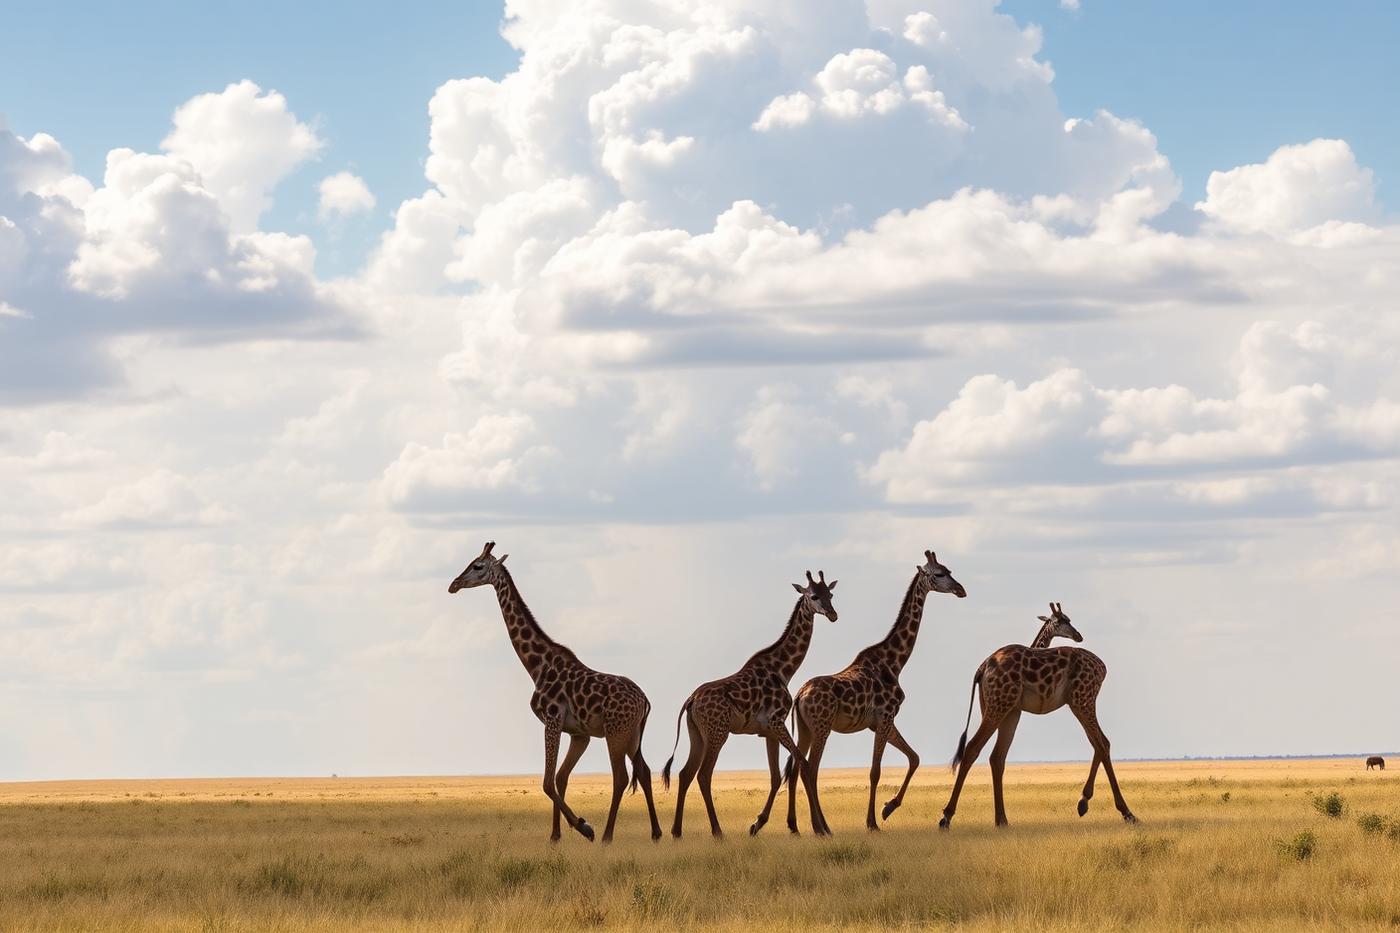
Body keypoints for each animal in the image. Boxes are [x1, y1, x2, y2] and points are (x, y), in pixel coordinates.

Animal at [448, 541, 663, 844]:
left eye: (478, 566)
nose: (453, 585)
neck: (537, 666)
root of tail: (645, 701)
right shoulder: (578, 733)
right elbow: (560, 778)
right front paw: (556, 835)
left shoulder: (552, 719)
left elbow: (548, 782)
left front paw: (584, 827)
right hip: (632, 734)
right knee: (643, 771)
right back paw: (656, 832)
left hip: (616, 732)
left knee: (620, 777)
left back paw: (607, 835)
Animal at [662, 571, 837, 838]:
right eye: (814, 596)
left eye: (831, 594)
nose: (832, 614)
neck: (783, 670)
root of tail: (690, 700)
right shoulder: (777, 722)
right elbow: (804, 765)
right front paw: (820, 828)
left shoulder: (768, 732)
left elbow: (776, 776)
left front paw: (758, 824)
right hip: (717, 732)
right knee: (703, 774)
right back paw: (717, 831)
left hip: (697, 734)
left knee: (685, 773)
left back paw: (677, 831)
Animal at [782, 550, 967, 835]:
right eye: (938, 574)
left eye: (949, 570)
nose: (961, 590)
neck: (894, 663)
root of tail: (800, 695)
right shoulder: (886, 717)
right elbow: (875, 771)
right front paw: (872, 822)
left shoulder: (880, 722)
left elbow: (914, 758)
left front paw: (888, 808)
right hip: (822, 727)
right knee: (810, 770)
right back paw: (821, 827)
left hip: (804, 729)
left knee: (797, 769)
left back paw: (797, 827)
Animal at [939, 602, 1137, 829]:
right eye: (1062, 620)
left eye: (1068, 619)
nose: (1078, 635)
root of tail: (982, 668)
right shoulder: (1078, 700)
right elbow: (1101, 745)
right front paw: (1121, 811)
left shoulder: (1015, 712)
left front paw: (1084, 801)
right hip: (1049, 701)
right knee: (973, 747)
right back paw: (947, 817)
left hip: (1002, 706)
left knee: (996, 756)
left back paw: (1001, 819)